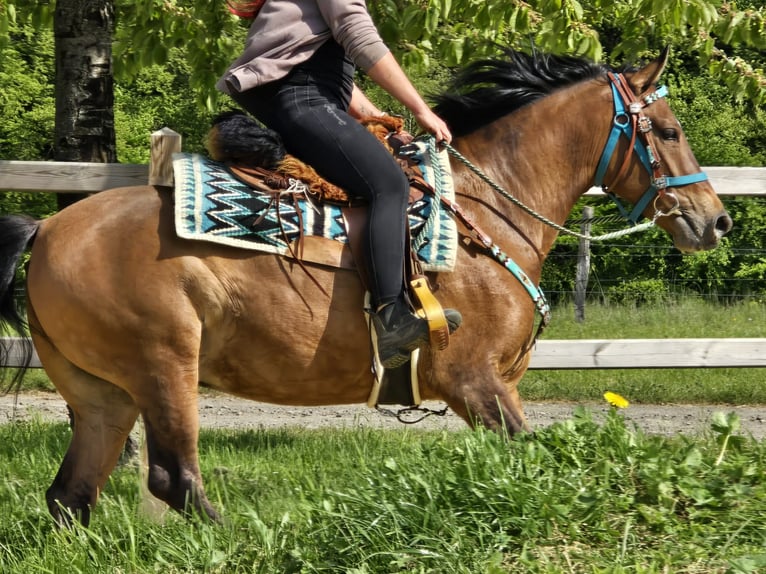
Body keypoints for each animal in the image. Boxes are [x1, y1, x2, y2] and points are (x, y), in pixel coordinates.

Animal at [0, 48, 732, 526]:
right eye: (669, 131)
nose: (715, 219)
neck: (485, 213)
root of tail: (48, 229)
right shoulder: (475, 382)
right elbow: (535, 458)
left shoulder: (497, 385)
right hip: (164, 367)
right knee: (174, 479)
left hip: (104, 394)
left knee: (72, 495)